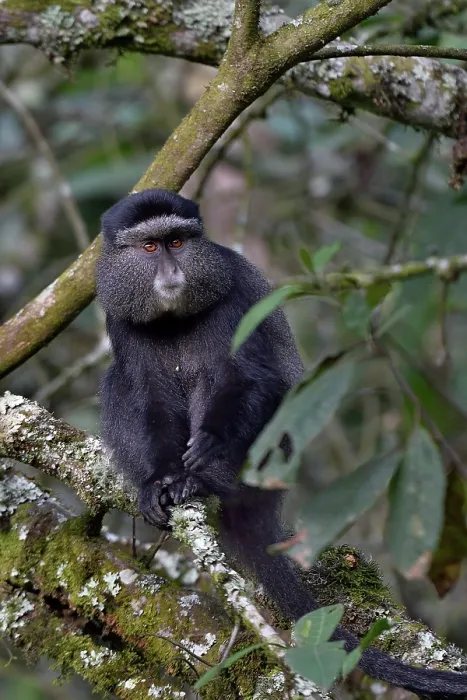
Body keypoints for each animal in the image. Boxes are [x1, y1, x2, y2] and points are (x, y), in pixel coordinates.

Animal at [96, 188, 467, 699]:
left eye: (177, 242)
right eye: (150, 247)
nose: (172, 272)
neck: (173, 318)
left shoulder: (233, 298)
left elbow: (249, 376)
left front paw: (208, 446)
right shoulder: (120, 318)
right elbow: (145, 394)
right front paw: (157, 480)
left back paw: (207, 483)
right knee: (117, 386)